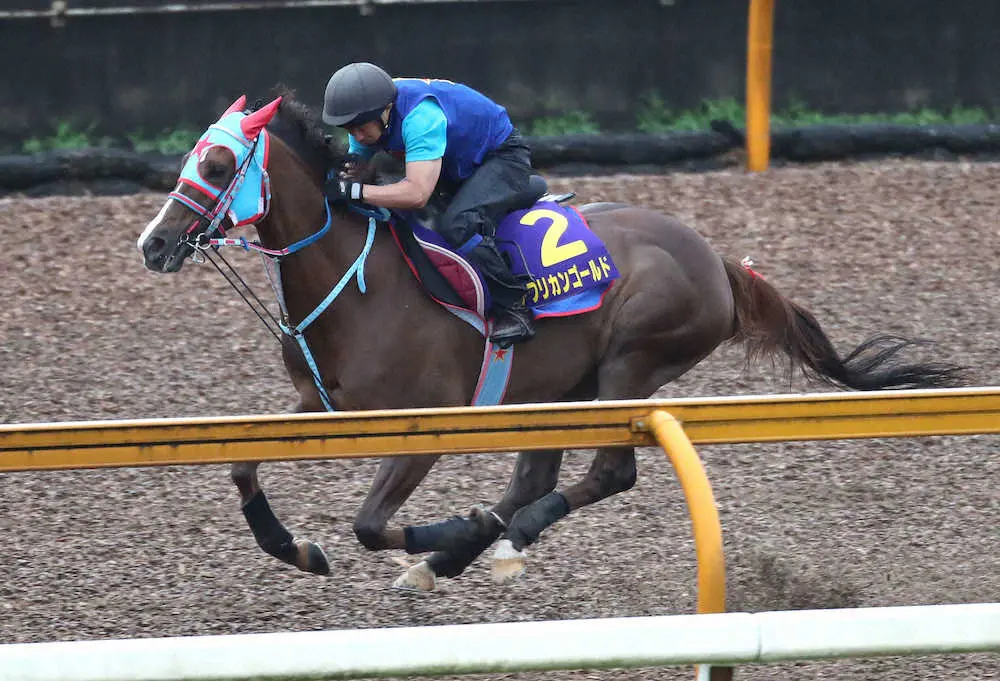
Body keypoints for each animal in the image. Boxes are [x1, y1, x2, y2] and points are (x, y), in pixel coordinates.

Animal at [137, 94, 964, 588]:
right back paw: (467, 547)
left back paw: (491, 537)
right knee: (537, 477)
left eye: (218, 162)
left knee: (607, 472)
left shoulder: (428, 422)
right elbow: (241, 466)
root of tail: (718, 260)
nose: (154, 243)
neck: (359, 282)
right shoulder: (320, 404)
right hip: (559, 385)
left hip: (630, 364)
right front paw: (297, 547)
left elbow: (369, 524)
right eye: (188, 157)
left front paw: (448, 527)